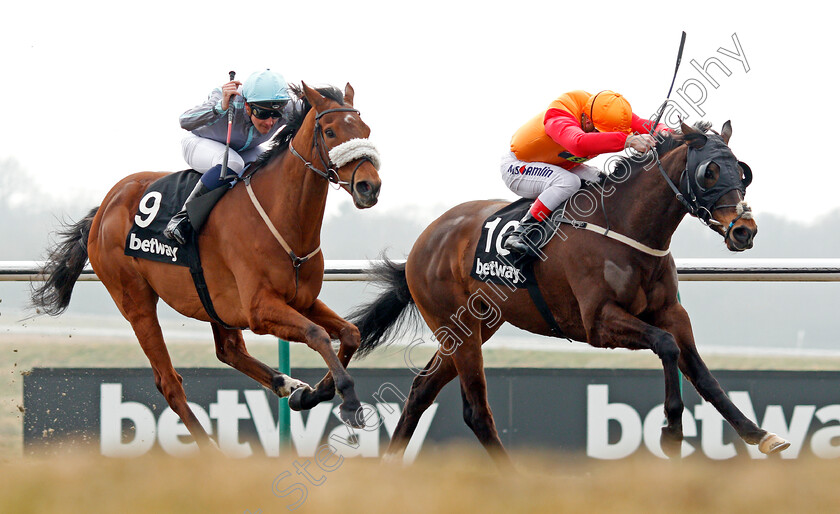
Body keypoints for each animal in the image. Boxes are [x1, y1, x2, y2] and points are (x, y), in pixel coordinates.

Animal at [31, 82, 382, 446]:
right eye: (330, 131)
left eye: (366, 130)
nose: (369, 186)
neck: (283, 221)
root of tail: (104, 207)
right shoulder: (260, 309)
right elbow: (318, 335)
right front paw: (349, 402)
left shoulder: (302, 300)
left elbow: (350, 333)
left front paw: (313, 393)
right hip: (135, 300)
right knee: (169, 382)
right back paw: (210, 446)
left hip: (215, 303)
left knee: (228, 350)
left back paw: (286, 384)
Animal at [352, 122, 792, 466]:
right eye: (709, 172)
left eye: (743, 172)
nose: (744, 230)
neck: (625, 225)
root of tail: (425, 239)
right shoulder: (598, 322)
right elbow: (666, 347)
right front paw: (671, 430)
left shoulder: (671, 313)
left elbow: (703, 375)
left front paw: (759, 434)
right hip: (456, 328)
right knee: (475, 409)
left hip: (475, 326)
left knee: (421, 390)